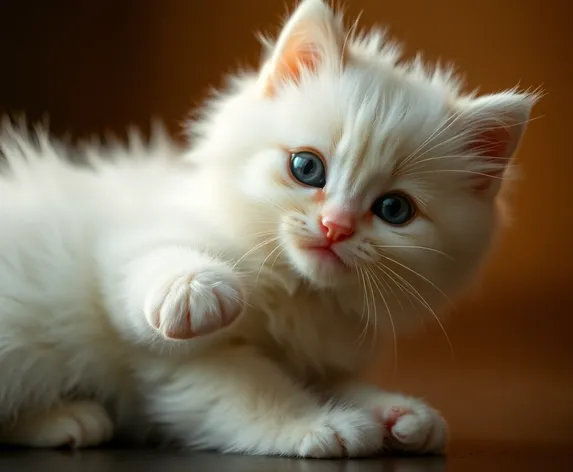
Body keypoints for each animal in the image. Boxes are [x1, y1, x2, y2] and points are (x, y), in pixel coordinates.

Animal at [0, 0, 536, 458]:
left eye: (393, 209)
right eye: (307, 168)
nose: (335, 227)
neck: (299, 294)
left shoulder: (316, 354)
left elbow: (336, 383)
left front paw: (400, 414)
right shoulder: (169, 343)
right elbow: (251, 391)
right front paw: (321, 425)